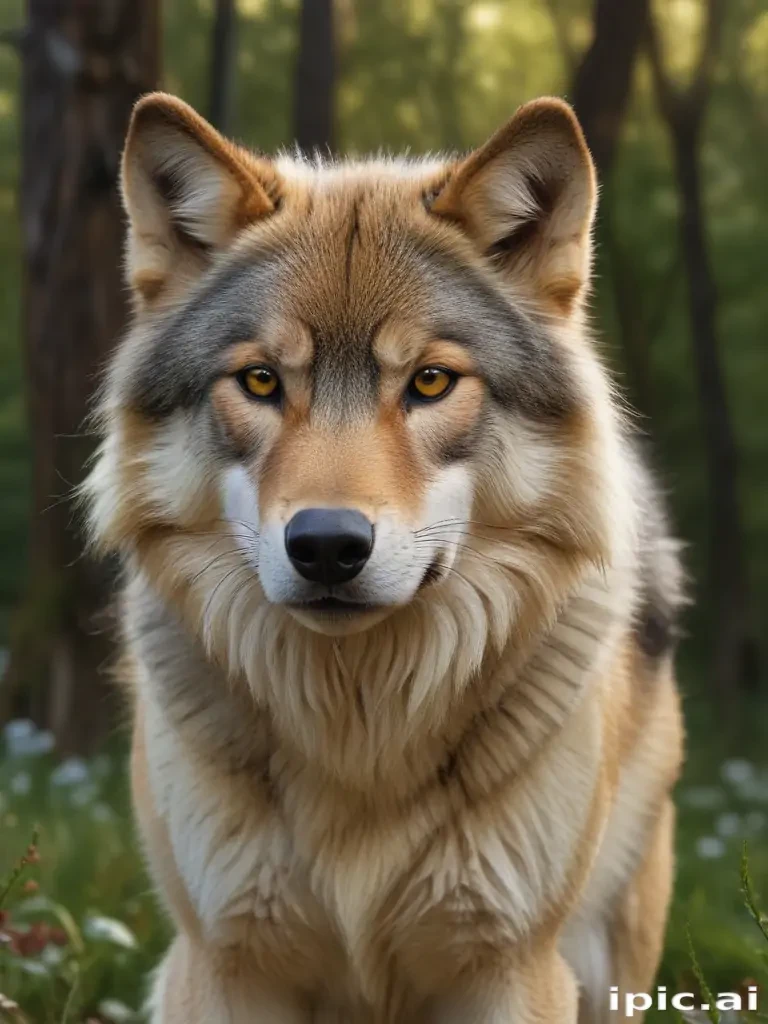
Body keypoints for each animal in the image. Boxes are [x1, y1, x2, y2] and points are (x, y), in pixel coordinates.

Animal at [85, 92, 685, 1023]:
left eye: (430, 382)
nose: (327, 545)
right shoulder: (224, 963)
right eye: (261, 382)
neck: (357, 729)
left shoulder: (512, 967)